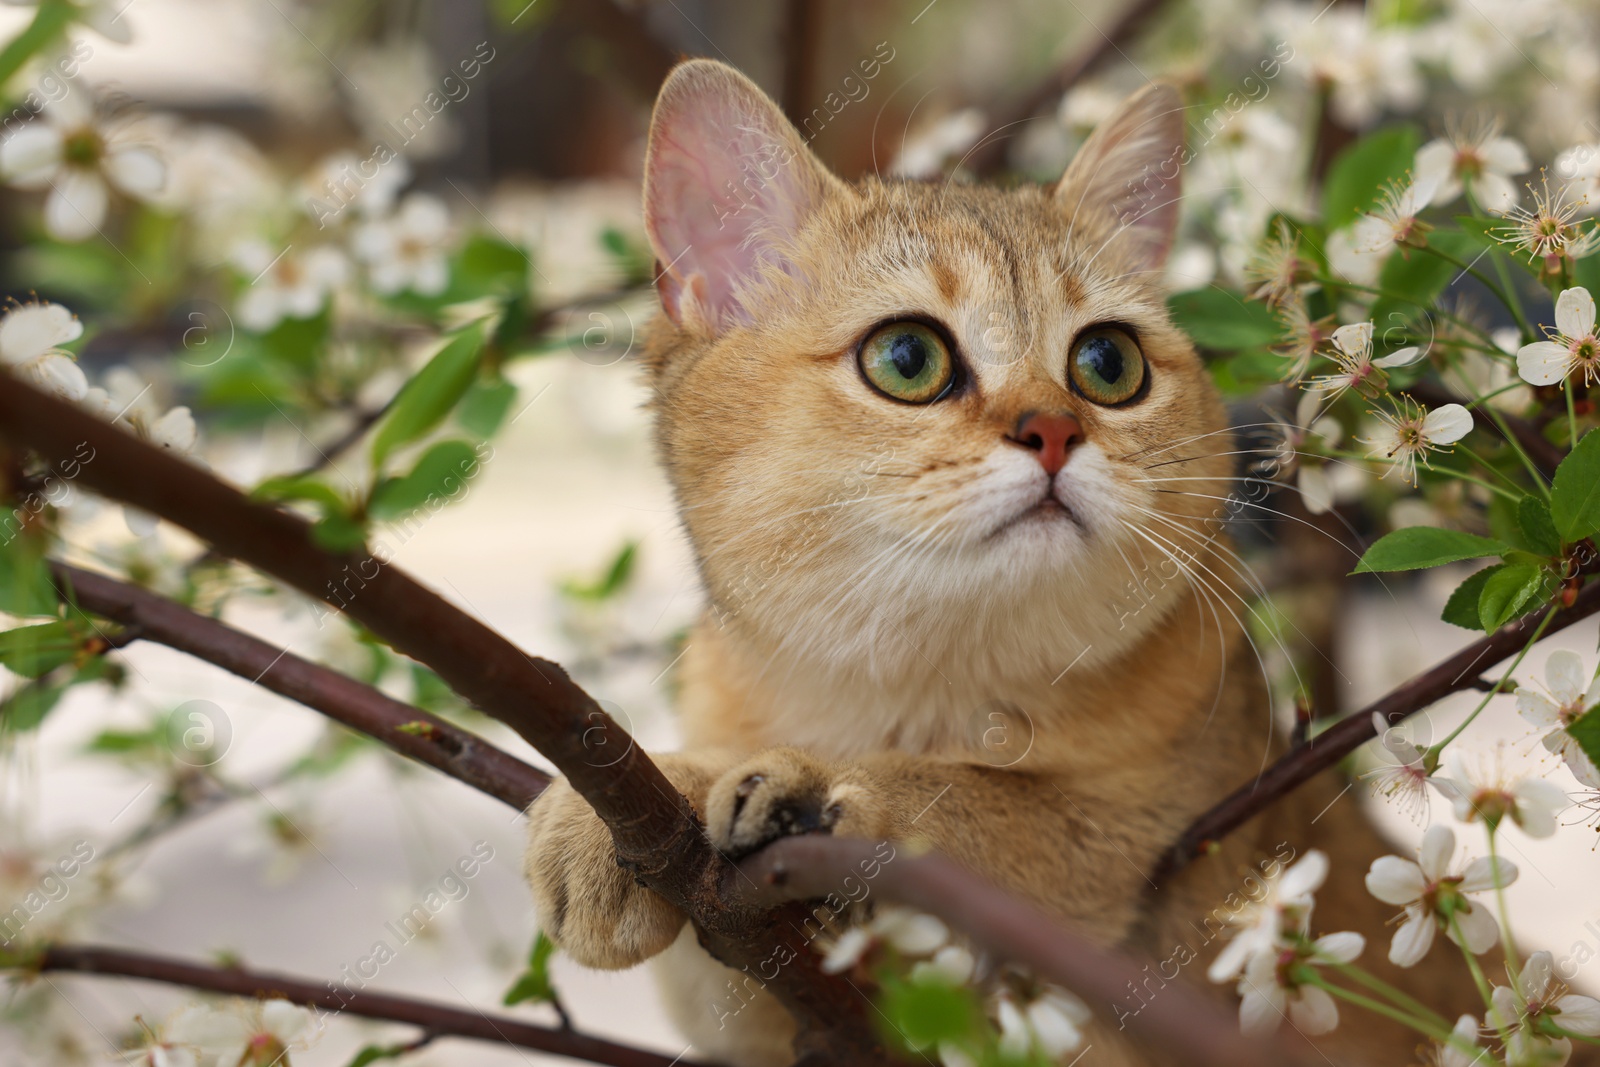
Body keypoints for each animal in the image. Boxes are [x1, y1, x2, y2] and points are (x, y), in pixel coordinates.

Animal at [524, 60, 1484, 1067]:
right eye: (908, 356)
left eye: (1108, 362)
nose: (1053, 430)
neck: (914, 687)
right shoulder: (776, 1020)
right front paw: (639, 796)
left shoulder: (1148, 842)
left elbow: (980, 795)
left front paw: (815, 784)